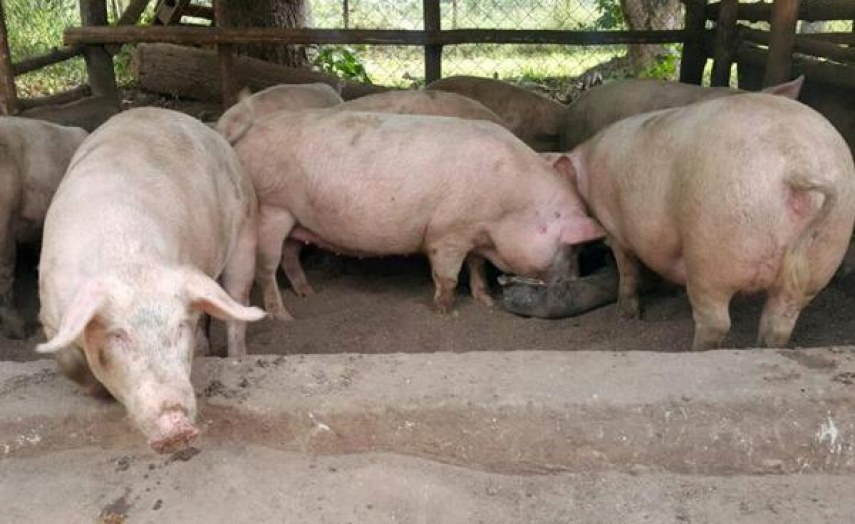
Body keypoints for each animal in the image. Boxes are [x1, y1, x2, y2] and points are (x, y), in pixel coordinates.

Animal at [36, 107, 266, 453]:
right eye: (118, 335)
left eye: (179, 327)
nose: (177, 427)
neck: (127, 257)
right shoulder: (51, 316)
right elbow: (69, 362)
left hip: (246, 227)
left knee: (237, 303)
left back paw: (236, 358)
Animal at [233, 109, 604, 319]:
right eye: (573, 248)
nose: (573, 280)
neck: (510, 207)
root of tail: (240, 139)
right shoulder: (447, 232)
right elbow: (447, 274)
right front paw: (446, 312)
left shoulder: (473, 230)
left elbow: (476, 266)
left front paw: (485, 301)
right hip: (272, 208)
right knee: (266, 267)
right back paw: (283, 316)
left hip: (297, 219)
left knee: (290, 255)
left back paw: (307, 293)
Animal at [565, 93, 855, 350]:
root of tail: (797, 165)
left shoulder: (615, 230)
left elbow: (627, 269)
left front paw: (626, 316)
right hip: (824, 250)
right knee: (780, 320)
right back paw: (762, 347)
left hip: (711, 249)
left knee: (715, 322)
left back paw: (695, 350)